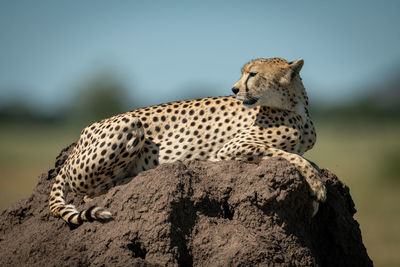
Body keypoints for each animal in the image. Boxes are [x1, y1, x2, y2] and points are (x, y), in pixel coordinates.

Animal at [50, 57, 326, 225]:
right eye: (243, 74)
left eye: (253, 75)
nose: (234, 89)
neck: (296, 108)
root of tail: (81, 136)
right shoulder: (231, 148)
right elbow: (291, 156)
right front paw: (318, 188)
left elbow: (302, 157)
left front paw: (316, 187)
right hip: (130, 123)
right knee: (90, 194)